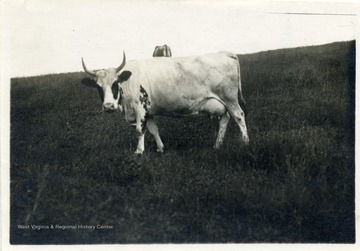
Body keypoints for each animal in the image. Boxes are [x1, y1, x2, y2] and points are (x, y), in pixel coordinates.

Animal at [82, 51, 249, 154]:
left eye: (115, 83)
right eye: (98, 86)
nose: (108, 106)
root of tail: (224, 52)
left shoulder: (140, 106)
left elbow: (140, 130)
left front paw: (139, 151)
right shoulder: (148, 111)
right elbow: (153, 129)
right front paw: (160, 148)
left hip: (230, 99)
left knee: (239, 116)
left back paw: (245, 142)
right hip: (222, 104)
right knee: (225, 120)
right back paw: (217, 145)